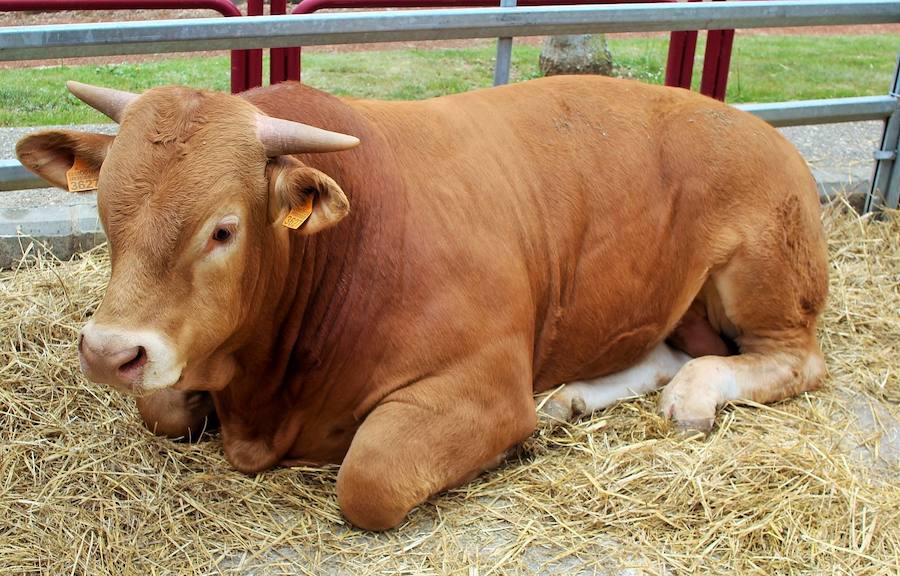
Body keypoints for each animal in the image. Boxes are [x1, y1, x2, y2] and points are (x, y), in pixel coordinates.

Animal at [15, 76, 828, 532]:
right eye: (107, 209)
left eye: (223, 228)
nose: (108, 352)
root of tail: (757, 126)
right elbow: (161, 408)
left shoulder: (484, 386)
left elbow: (368, 481)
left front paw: (512, 444)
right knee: (665, 348)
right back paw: (570, 401)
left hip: (763, 272)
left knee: (793, 359)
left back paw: (693, 397)